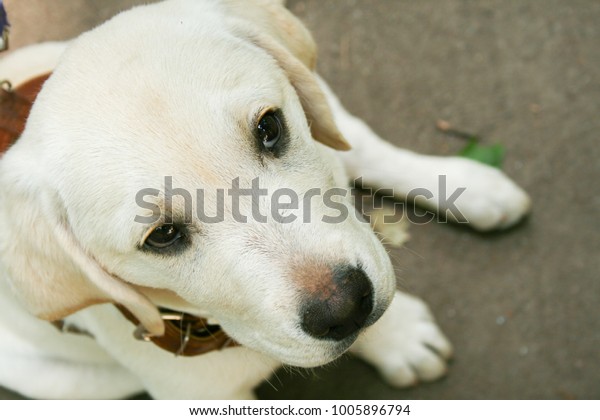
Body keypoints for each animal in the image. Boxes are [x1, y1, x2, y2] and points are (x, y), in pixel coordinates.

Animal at [0, 0, 528, 398]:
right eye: (162, 236)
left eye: (269, 128)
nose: (343, 307)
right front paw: (395, 340)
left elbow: (364, 149)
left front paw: (469, 187)